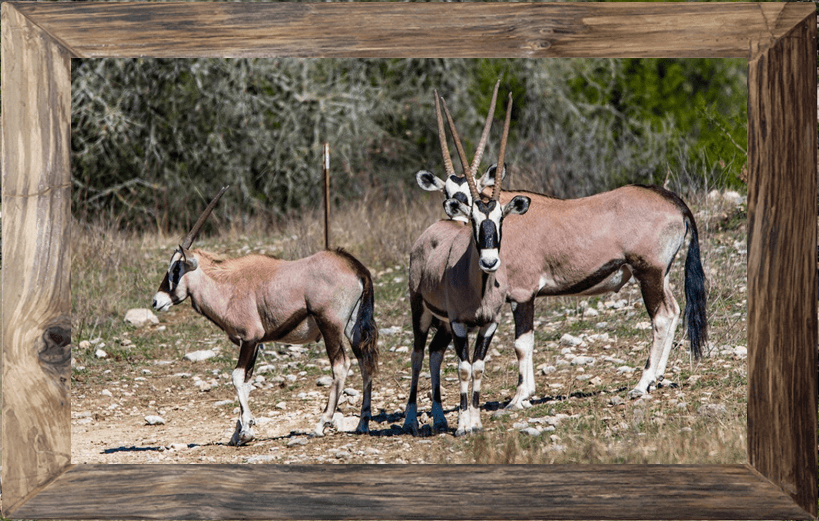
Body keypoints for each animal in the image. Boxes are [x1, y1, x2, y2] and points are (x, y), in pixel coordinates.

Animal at [153, 187, 378, 442]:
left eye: (176, 268)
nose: (156, 301)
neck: (227, 285)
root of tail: (355, 267)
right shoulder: (254, 343)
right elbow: (247, 382)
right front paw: (241, 430)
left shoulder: (249, 338)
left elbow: (237, 377)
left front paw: (245, 430)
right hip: (352, 327)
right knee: (365, 362)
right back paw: (362, 423)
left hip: (330, 326)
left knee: (341, 366)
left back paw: (321, 424)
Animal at [404, 82, 532, 434]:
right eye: (475, 219)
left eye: (501, 218)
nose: (489, 262)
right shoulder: (461, 323)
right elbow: (463, 368)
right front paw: (463, 424)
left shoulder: (488, 324)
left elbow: (478, 367)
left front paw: (473, 420)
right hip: (421, 311)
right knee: (417, 355)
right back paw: (411, 418)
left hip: (443, 324)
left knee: (434, 353)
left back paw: (438, 416)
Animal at [420, 90, 708, 406]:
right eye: (449, 194)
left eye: (476, 200)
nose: (458, 218)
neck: (509, 221)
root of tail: (674, 202)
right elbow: (528, 342)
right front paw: (528, 392)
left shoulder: (523, 294)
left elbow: (522, 343)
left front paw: (519, 397)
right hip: (661, 274)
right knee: (674, 310)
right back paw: (657, 378)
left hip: (649, 273)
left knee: (662, 317)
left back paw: (642, 383)